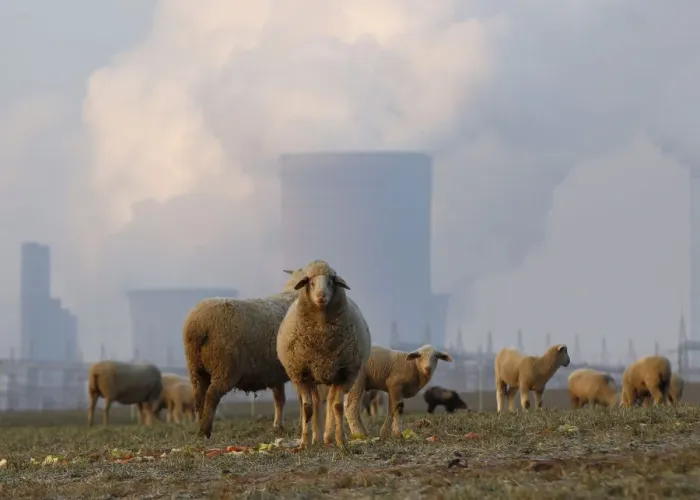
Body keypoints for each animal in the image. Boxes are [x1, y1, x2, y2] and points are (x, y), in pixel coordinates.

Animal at [183, 267, 307, 438]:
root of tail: (199, 325)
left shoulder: (275, 373)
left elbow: (280, 399)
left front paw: (278, 427)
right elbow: (301, 399)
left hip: (196, 367)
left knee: (199, 396)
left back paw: (200, 427)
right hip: (225, 367)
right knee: (212, 395)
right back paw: (205, 431)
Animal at [277, 259, 372, 448]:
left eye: (331, 281)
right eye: (310, 282)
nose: (321, 296)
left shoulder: (344, 374)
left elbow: (337, 407)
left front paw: (341, 441)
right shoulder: (301, 374)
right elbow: (307, 408)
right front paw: (304, 443)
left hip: (330, 376)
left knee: (329, 402)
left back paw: (327, 437)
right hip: (312, 377)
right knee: (315, 403)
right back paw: (316, 437)